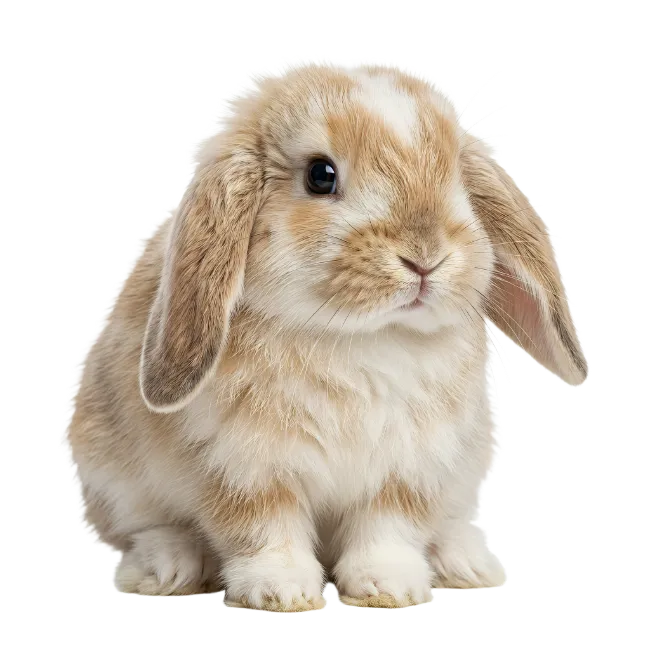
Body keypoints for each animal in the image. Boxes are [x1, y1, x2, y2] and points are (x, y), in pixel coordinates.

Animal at [65, 61, 589, 612]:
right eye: (321, 175)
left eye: (454, 178)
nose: (426, 256)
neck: (362, 339)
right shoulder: (242, 466)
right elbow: (262, 527)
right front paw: (281, 589)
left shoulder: (407, 470)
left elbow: (388, 526)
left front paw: (387, 585)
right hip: (112, 475)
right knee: (144, 529)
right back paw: (170, 566)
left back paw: (465, 562)